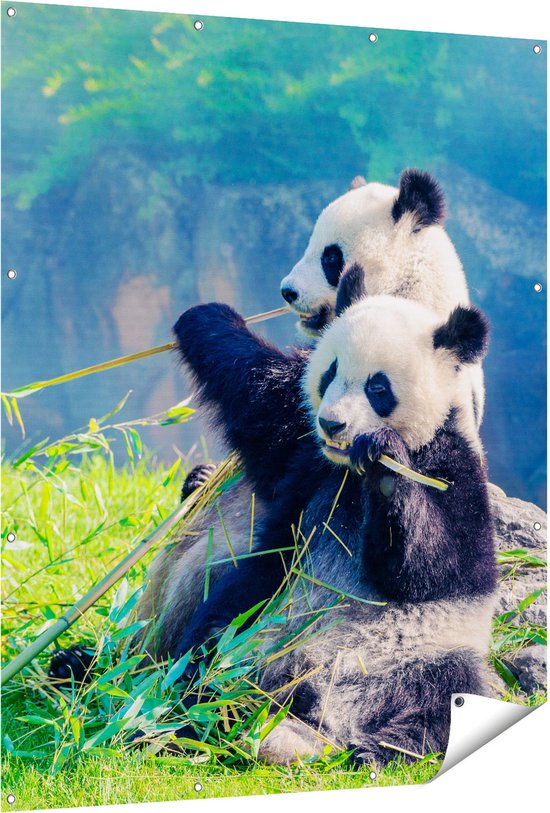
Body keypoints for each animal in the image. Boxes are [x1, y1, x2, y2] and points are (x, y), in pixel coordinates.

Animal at [167, 270, 496, 765]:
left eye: (379, 388)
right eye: (330, 373)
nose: (333, 425)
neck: (348, 473)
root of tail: (316, 708)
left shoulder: (453, 464)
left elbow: (439, 568)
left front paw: (385, 466)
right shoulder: (308, 464)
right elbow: (261, 403)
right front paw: (206, 316)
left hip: (423, 653)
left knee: (451, 693)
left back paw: (380, 748)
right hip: (259, 622)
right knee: (213, 639)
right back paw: (190, 714)